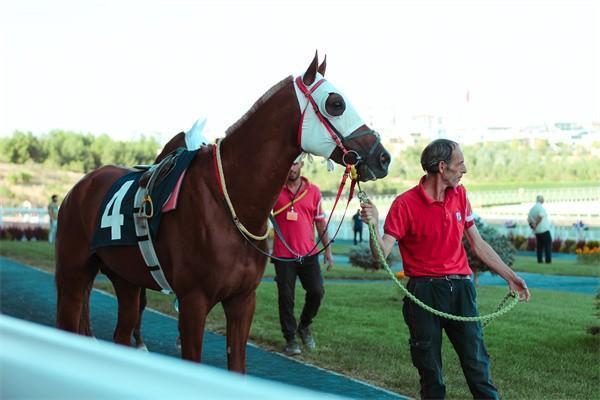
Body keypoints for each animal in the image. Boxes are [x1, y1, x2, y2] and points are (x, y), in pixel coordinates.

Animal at [55, 54, 390, 374]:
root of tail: (81, 186)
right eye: (336, 104)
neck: (230, 201)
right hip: (73, 275)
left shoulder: (243, 301)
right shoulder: (193, 301)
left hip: (126, 280)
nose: (382, 157)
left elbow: (237, 365)